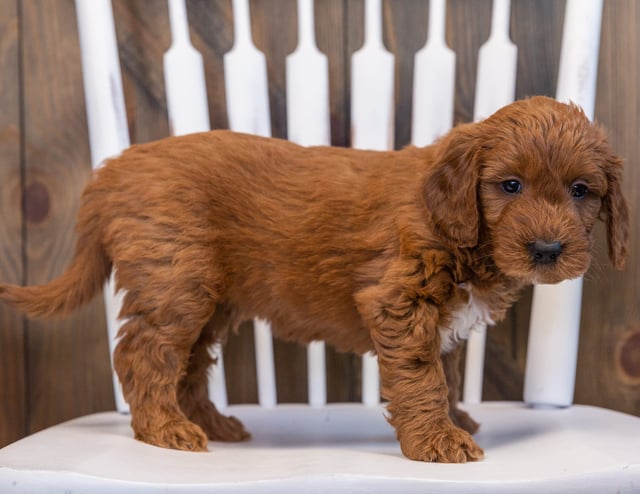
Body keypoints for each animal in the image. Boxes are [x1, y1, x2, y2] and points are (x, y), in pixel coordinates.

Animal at [0, 96, 628, 464]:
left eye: (581, 190)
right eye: (510, 186)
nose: (547, 250)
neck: (463, 232)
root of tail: (112, 169)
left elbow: (445, 373)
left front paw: (453, 419)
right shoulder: (399, 300)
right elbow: (422, 377)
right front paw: (438, 440)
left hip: (209, 299)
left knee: (189, 364)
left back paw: (210, 422)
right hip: (174, 283)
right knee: (145, 354)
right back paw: (164, 430)